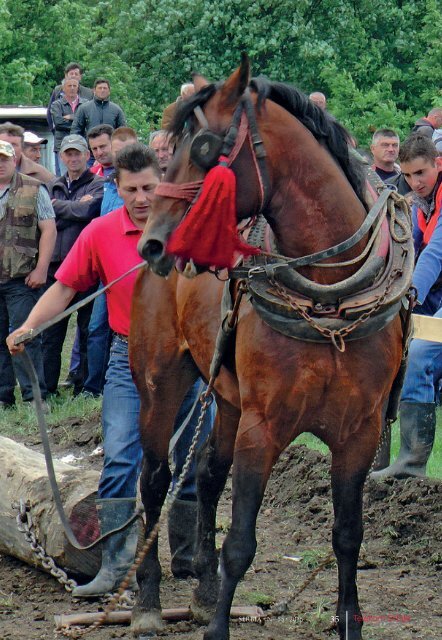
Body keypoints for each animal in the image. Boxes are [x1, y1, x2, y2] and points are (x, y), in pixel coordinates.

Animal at [129, 56, 410, 640]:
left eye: (205, 148)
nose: (154, 243)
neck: (329, 306)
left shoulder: (360, 432)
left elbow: (348, 536)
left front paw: (349, 623)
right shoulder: (264, 427)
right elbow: (241, 541)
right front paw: (217, 628)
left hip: (228, 400)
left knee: (207, 475)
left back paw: (203, 589)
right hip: (160, 383)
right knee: (156, 479)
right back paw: (148, 596)